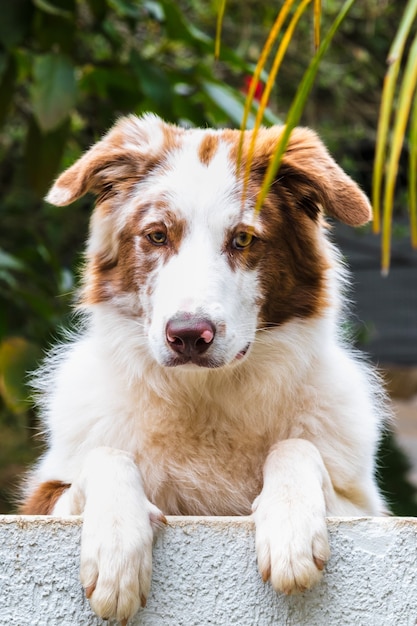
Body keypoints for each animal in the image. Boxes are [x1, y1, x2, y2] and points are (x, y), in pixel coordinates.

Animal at [21, 114, 386, 620]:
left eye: (243, 239)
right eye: (157, 235)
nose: (190, 336)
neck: (205, 398)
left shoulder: (366, 509)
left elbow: (295, 446)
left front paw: (290, 525)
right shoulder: (42, 498)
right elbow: (106, 456)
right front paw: (116, 549)